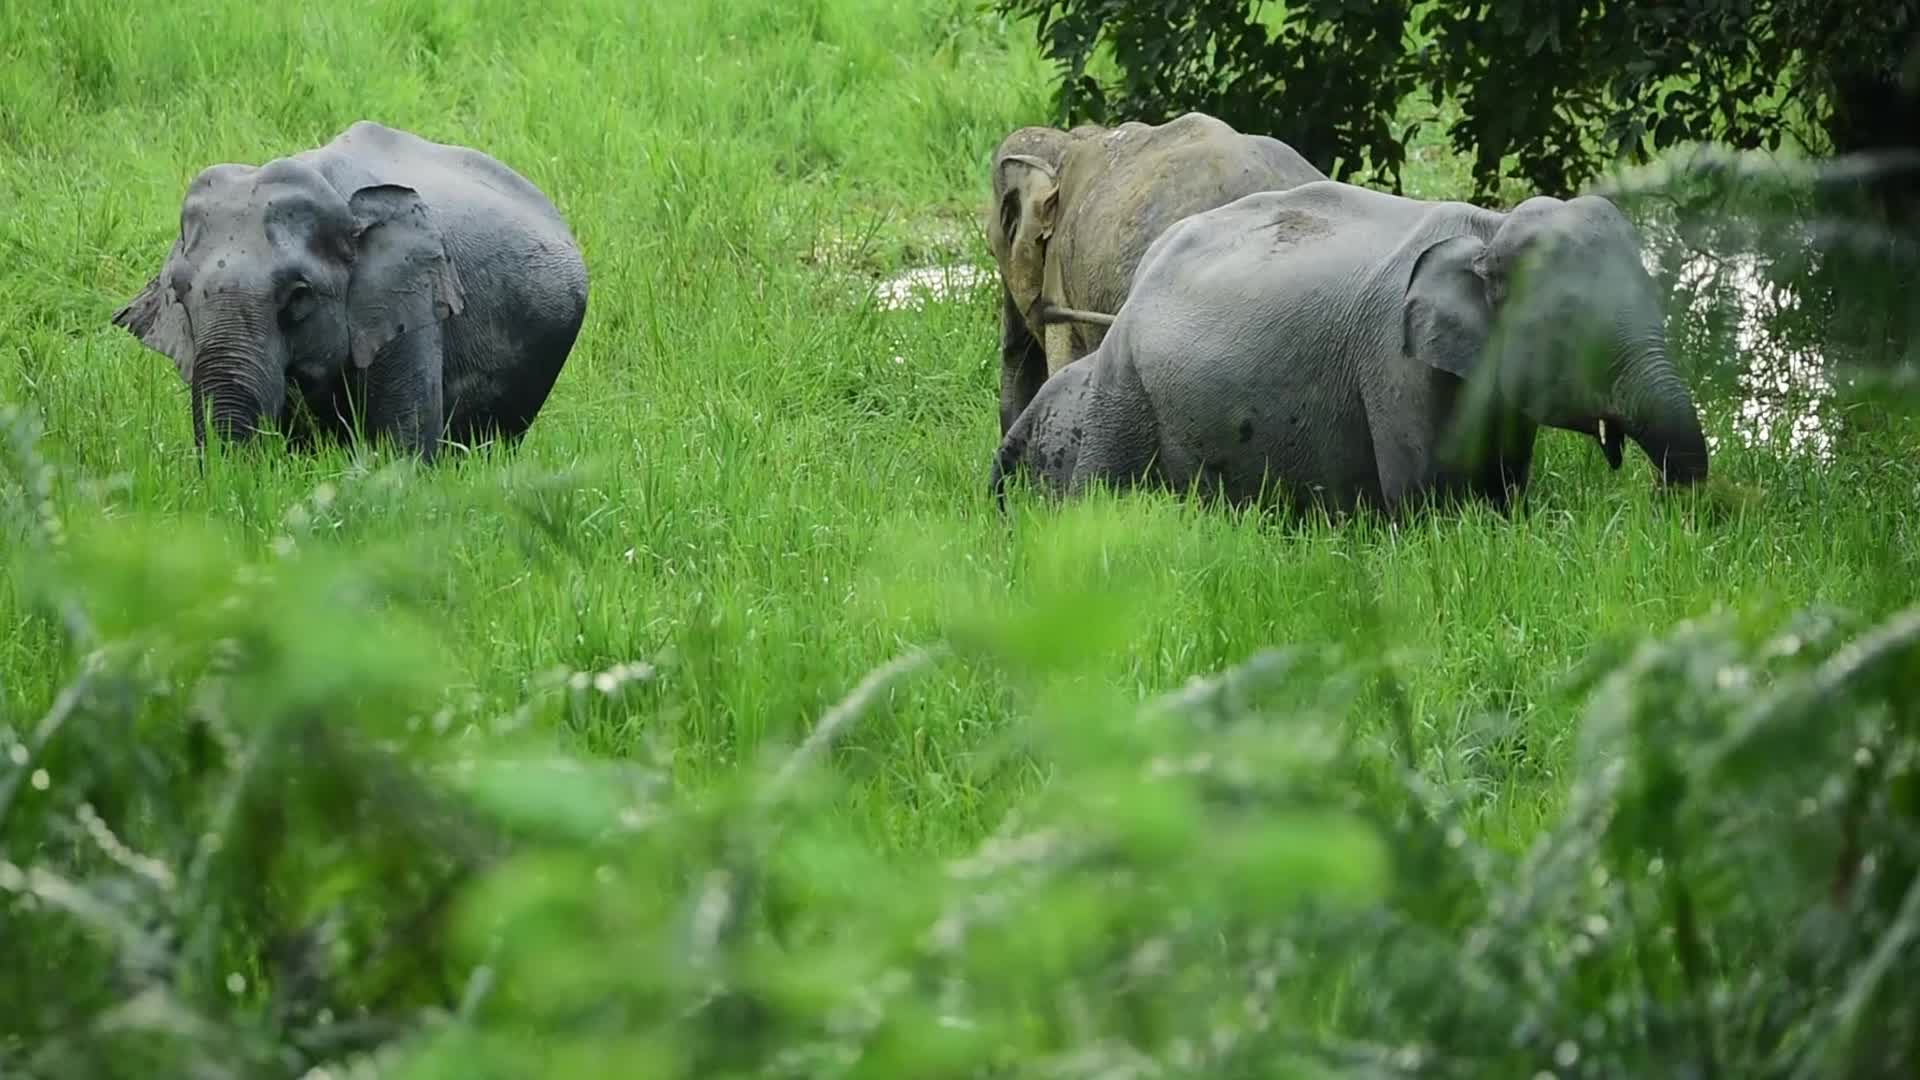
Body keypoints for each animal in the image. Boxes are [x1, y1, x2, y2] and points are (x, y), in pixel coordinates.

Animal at [989, 179, 1711, 518]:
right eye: (1567, 328)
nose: (1668, 508)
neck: (1489, 227)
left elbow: (1503, 484)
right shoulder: (1395, 365)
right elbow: (1430, 500)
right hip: (1125, 392)